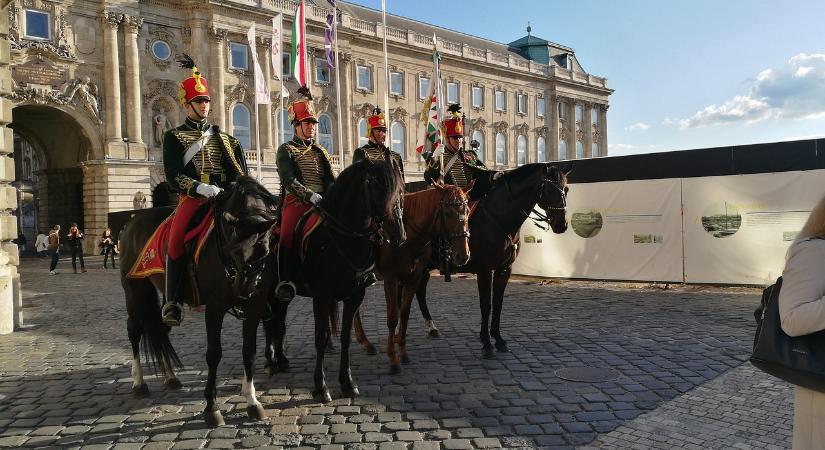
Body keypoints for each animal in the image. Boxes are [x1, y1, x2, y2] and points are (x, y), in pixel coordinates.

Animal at [119, 176, 278, 426]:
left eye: (263, 248)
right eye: (233, 250)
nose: (243, 291)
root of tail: (133, 220)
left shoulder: (255, 306)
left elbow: (249, 351)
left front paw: (252, 400)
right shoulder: (214, 308)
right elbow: (214, 354)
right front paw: (211, 408)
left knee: (160, 329)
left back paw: (170, 377)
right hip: (135, 291)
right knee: (134, 330)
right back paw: (139, 383)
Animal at [262, 159, 404, 404]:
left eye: (400, 190)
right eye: (376, 185)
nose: (398, 234)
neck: (345, 237)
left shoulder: (355, 295)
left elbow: (346, 337)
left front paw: (347, 382)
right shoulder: (322, 295)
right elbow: (320, 338)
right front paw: (321, 387)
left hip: (282, 294)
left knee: (278, 320)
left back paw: (281, 360)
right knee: (267, 321)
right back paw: (271, 362)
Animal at [350, 183, 474, 372]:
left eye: (467, 210)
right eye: (447, 213)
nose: (463, 255)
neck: (408, 237)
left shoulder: (414, 278)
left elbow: (405, 313)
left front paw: (403, 352)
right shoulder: (391, 279)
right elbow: (393, 318)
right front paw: (393, 358)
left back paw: (365, 342)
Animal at [416, 163, 568, 356]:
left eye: (566, 189)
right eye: (550, 189)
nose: (562, 225)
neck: (498, 220)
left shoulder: (504, 269)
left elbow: (498, 304)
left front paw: (498, 339)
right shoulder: (485, 270)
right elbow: (486, 305)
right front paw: (486, 343)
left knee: (419, 291)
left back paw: (431, 327)